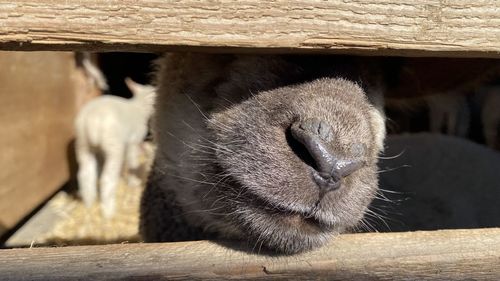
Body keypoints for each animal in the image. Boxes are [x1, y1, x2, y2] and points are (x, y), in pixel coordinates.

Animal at [74, 77, 154, 218]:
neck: (139, 106)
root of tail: (91, 121)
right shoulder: (133, 141)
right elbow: (132, 161)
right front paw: (133, 182)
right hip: (113, 146)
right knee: (107, 179)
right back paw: (109, 212)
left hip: (82, 144)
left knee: (85, 174)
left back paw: (89, 203)